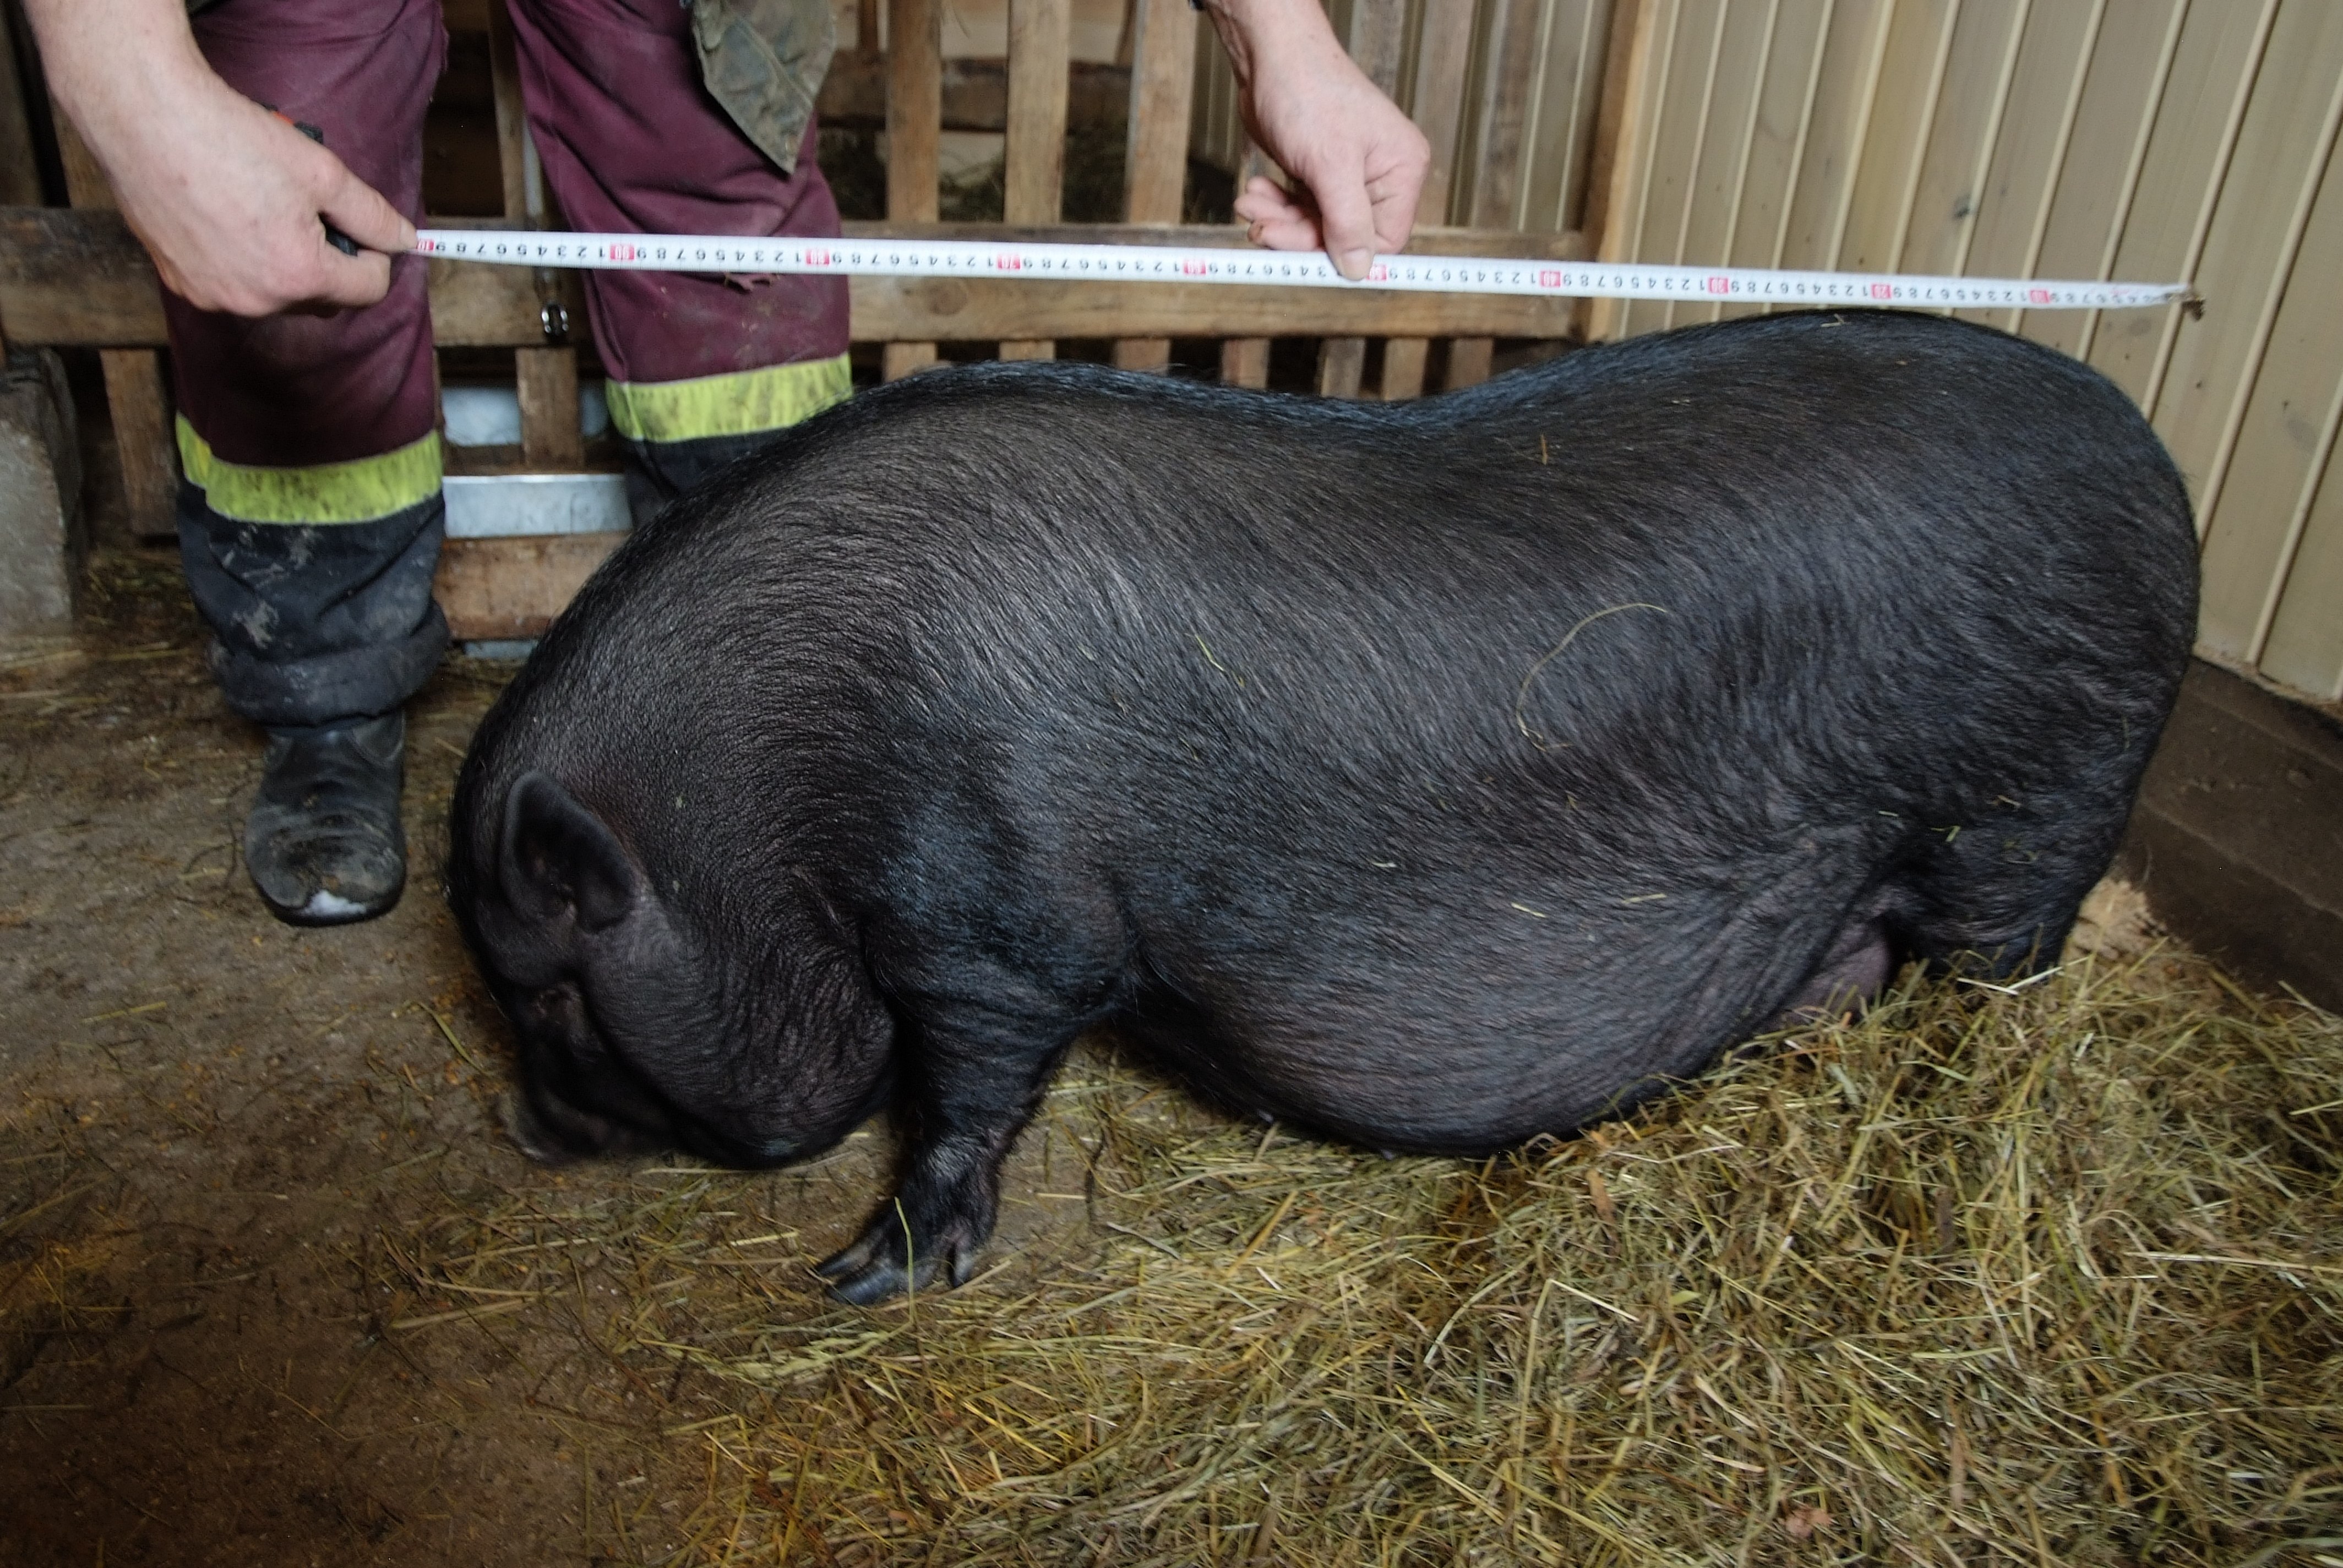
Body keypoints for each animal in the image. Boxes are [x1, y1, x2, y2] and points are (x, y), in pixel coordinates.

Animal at [443, 304, 2193, 1293]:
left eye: (553, 994)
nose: (517, 1130)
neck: (776, 795)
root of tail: (2166, 480)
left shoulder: (997, 928)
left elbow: (968, 1092)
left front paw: (864, 1275)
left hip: (2034, 799)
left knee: (1996, 971)